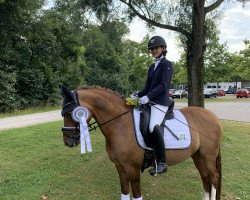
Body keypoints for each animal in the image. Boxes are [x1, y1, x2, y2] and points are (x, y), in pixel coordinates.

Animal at [60, 85, 223, 200]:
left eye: (69, 113)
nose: (68, 142)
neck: (120, 123)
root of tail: (213, 117)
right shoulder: (120, 167)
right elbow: (124, 193)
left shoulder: (132, 169)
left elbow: (137, 195)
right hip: (198, 155)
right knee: (205, 178)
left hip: (208, 157)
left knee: (213, 179)